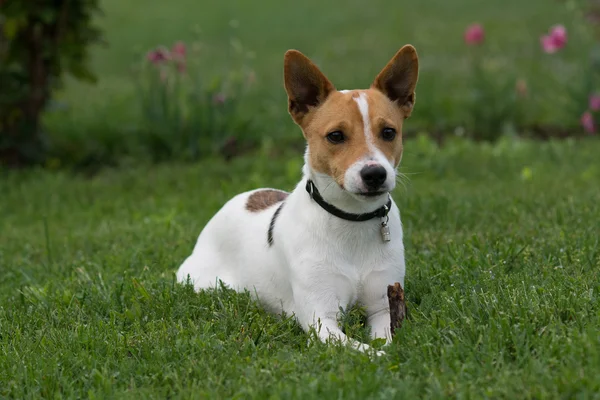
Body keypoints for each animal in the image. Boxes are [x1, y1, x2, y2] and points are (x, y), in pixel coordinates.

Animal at [177, 45, 418, 354]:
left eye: (389, 132)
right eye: (335, 136)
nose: (375, 173)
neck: (352, 219)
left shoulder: (383, 306)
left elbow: (384, 336)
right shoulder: (321, 319)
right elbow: (365, 350)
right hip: (202, 283)